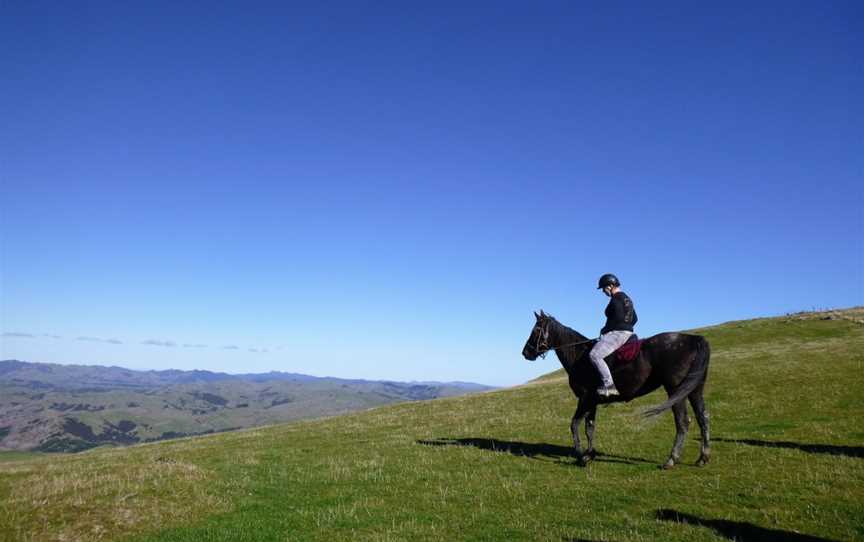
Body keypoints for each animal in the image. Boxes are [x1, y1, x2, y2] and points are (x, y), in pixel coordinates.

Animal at [520, 312, 708, 470]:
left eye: (536, 330)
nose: (526, 352)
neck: (580, 356)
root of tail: (694, 339)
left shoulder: (584, 399)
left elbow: (574, 425)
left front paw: (581, 457)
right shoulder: (592, 402)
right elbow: (590, 428)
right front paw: (590, 454)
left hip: (676, 391)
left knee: (683, 422)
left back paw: (671, 460)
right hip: (694, 390)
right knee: (703, 417)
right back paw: (703, 458)